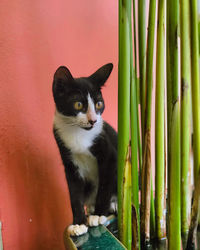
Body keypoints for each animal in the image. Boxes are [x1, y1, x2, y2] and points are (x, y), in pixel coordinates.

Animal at [52, 63, 117, 235]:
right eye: (78, 104)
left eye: (99, 104)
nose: (93, 120)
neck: (78, 133)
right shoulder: (69, 162)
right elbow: (74, 193)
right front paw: (78, 223)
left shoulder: (109, 155)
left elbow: (105, 186)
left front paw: (99, 214)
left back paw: (111, 205)